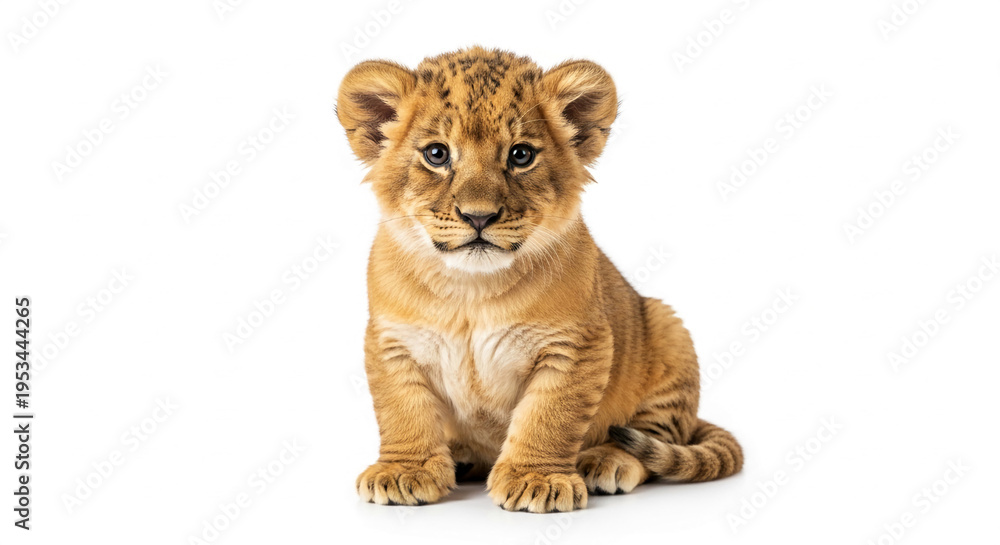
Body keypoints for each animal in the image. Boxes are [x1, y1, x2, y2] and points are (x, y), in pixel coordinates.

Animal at [337, 46, 743, 513]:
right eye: (437, 154)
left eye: (520, 155)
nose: (479, 216)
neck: (470, 291)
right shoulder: (392, 343)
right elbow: (402, 411)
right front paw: (405, 470)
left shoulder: (576, 346)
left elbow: (549, 417)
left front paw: (537, 479)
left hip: (666, 327)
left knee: (653, 435)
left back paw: (606, 461)